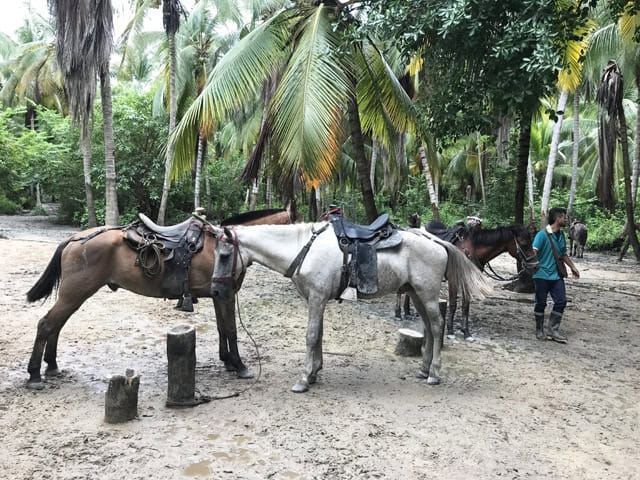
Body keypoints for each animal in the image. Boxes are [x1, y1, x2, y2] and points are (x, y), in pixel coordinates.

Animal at [24, 208, 293, 390]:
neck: (226, 248)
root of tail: (73, 239)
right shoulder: (225, 294)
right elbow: (231, 330)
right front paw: (240, 366)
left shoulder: (219, 295)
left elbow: (221, 329)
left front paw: (227, 361)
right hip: (74, 293)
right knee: (46, 324)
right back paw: (35, 374)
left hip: (73, 295)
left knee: (56, 325)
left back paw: (52, 366)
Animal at [209, 221, 491, 393]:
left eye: (224, 255)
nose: (215, 291)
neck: (304, 249)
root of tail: (436, 241)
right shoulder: (318, 300)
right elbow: (319, 335)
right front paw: (315, 372)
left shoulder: (317, 298)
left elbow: (311, 335)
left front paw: (304, 379)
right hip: (416, 294)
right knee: (430, 329)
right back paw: (423, 370)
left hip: (428, 295)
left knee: (437, 325)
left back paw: (434, 373)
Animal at [405, 220, 538, 341]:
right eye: (523, 243)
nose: (535, 266)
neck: (469, 251)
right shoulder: (453, 280)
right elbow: (453, 304)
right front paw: (450, 331)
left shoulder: (468, 281)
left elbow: (466, 305)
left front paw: (466, 332)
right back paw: (403, 314)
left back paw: (407, 313)